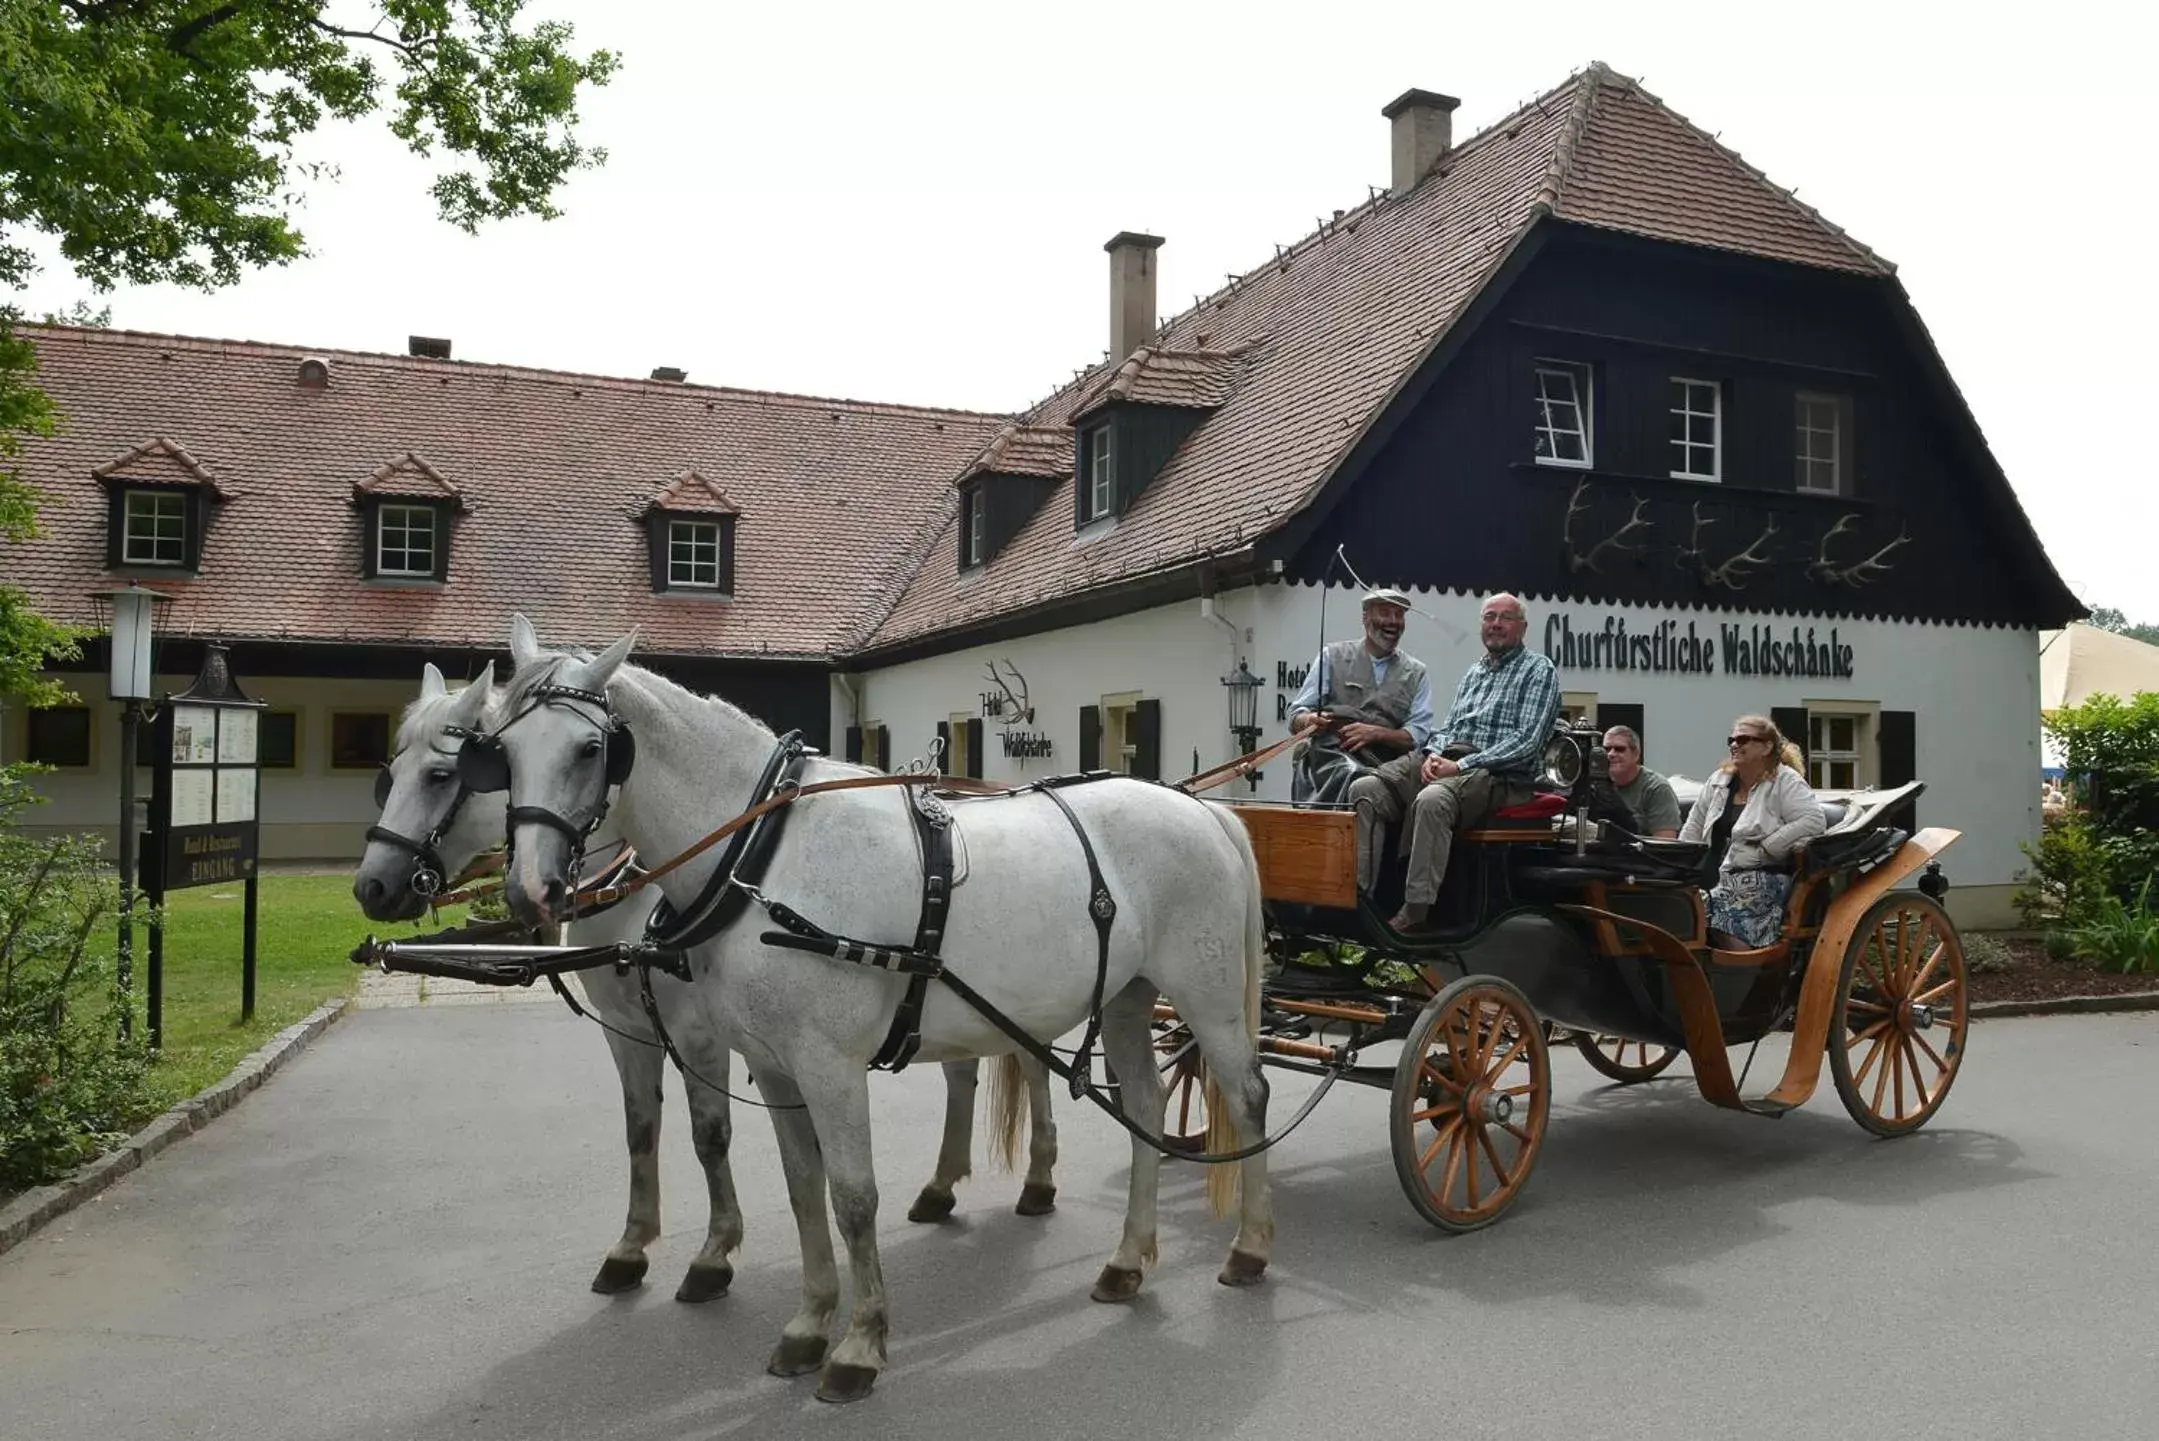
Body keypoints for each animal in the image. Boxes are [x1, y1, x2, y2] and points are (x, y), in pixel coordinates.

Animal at [354, 665, 1062, 1304]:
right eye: (391, 769)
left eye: (447, 773)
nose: (373, 886)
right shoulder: (630, 1033)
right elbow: (640, 1130)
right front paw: (631, 1246)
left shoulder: (702, 1036)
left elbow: (708, 1135)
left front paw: (714, 1254)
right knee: (964, 1069)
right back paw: (942, 1187)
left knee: (1031, 1060)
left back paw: (1038, 1180)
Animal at [481, 622, 1269, 1408]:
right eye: (501, 750)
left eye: (590, 749)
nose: (530, 892)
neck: (762, 858)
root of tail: (1202, 809)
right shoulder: (773, 1065)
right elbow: (805, 1191)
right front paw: (808, 1324)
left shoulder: (828, 1065)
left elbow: (854, 1197)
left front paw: (859, 1345)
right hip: (1127, 997)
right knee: (1145, 1106)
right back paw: (1129, 1259)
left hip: (1205, 996)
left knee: (1246, 1096)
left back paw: (1249, 1248)